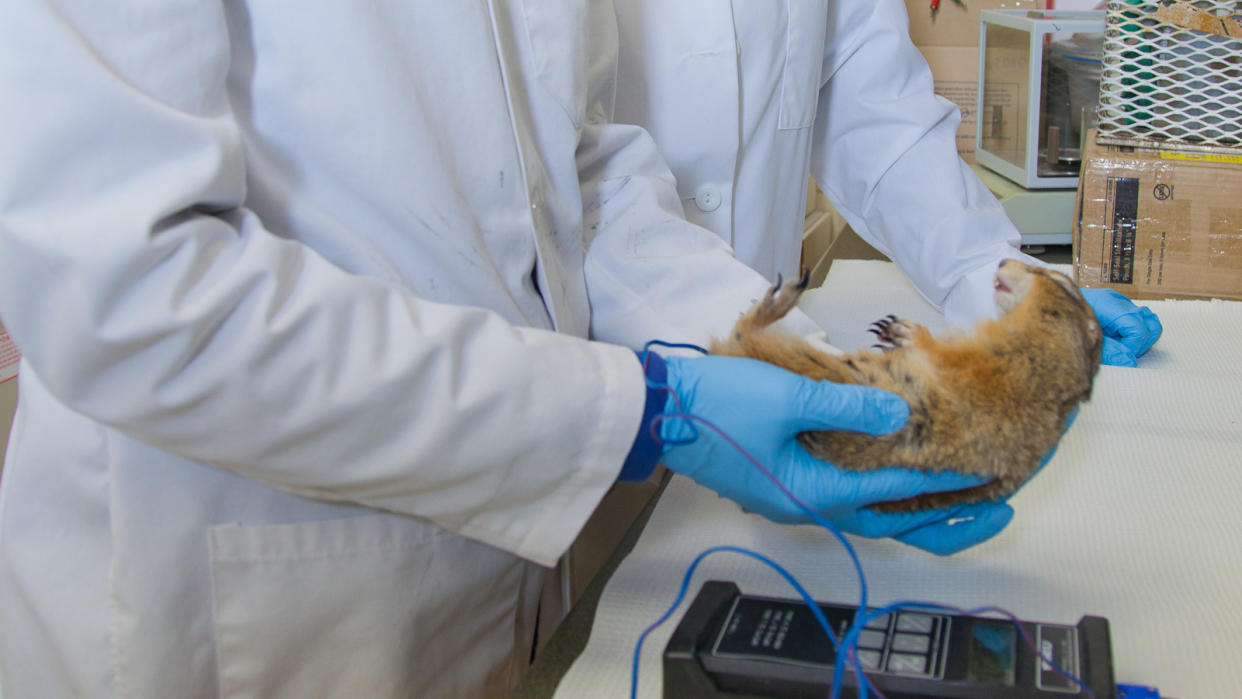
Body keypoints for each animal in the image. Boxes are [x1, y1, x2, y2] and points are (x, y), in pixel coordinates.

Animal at [715, 259, 1102, 511]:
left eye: (1058, 280)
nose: (1003, 259)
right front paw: (893, 333)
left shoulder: (984, 360)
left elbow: (938, 352)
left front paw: (906, 331)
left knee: (743, 333)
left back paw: (778, 299)